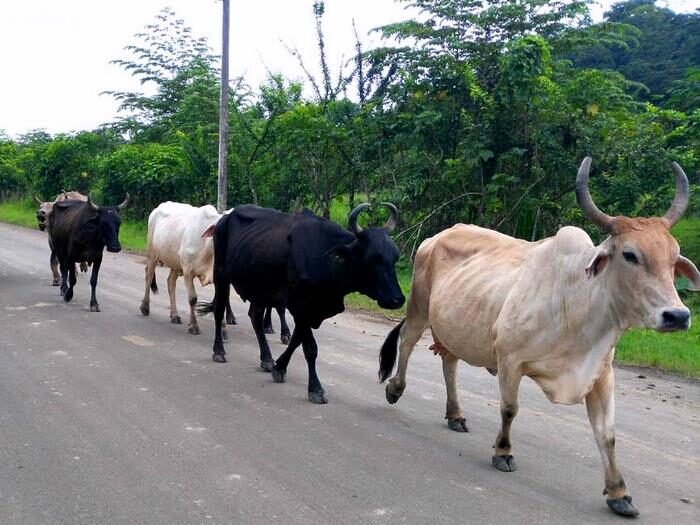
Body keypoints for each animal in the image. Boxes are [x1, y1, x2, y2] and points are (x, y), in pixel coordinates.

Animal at [198, 203, 404, 404]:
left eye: (395, 257)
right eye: (372, 258)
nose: (397, 299)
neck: (325, 259)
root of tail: (224, 218)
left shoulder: (309, 311)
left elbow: (296, 340)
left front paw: (279, 367)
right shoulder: (300, 306)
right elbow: (310, 348)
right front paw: (315, 389)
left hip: (260, 289)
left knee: (255, 318)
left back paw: (267, 359)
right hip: (221, 275)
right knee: (219, 311)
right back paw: (219, 351)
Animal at [380, 157, 696, 516]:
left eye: (673, 258)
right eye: (630, 255)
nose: (678, 316)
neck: (576, 309)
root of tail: (436, 237)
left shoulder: (601, 375)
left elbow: (607, 435)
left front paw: (619, 493)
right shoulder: (509, 360)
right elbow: (509, 409)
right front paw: (503, 452)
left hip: (454, 326)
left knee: (449, 362)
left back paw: (455, 414)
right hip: (419, 309)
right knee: (407, 342)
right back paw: (395, 388)